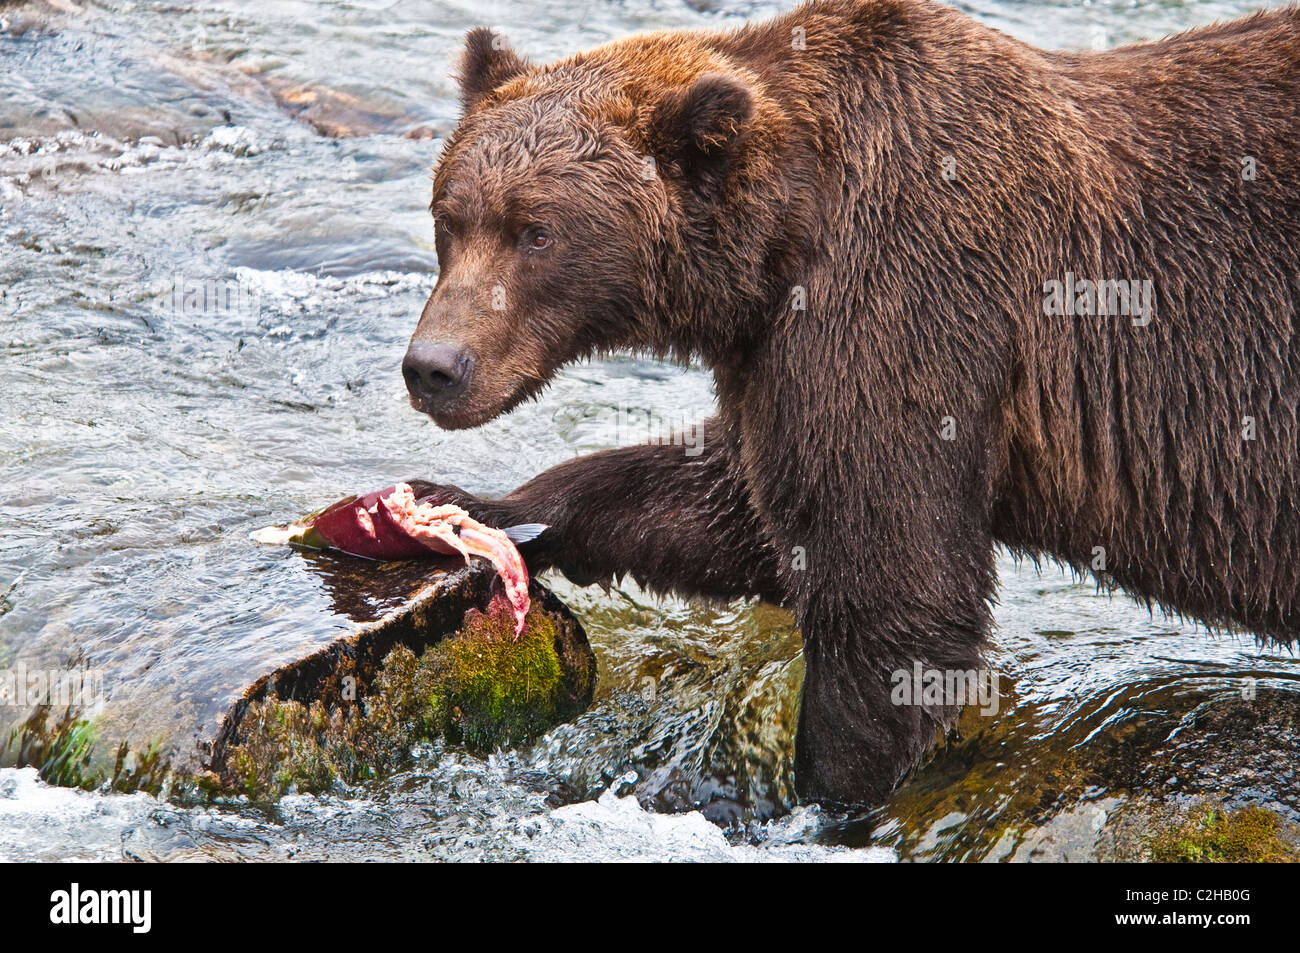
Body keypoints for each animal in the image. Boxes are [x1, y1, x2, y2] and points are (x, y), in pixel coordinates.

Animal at [400, 0, 1300, 806]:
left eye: (537, 231)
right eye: (450, 216)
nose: (433, 367)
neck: (780, 242)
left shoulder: (904, 302)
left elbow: (893, 589)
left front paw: (824, 794)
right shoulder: (775, 353)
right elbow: (733, 510)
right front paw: (464, 503)